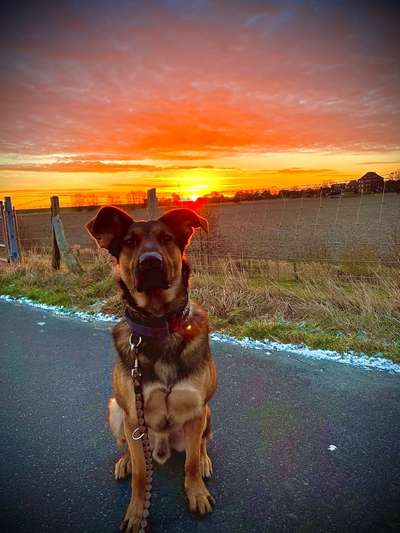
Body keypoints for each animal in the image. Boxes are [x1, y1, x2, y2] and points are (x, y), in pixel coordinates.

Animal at [85, 207, 217, 532]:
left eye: (166, 238)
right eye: (130, 242)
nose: (150, 262)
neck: (159, 325)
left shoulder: (196, 409)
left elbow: (190, 463)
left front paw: (196, 493)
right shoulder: (134, 417)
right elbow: (141, 476)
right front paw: (136, 513)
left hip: (207, 413)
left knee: (202, 444)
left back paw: (205, 461)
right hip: (116, 411)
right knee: (129, 450)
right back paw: (125, 461)